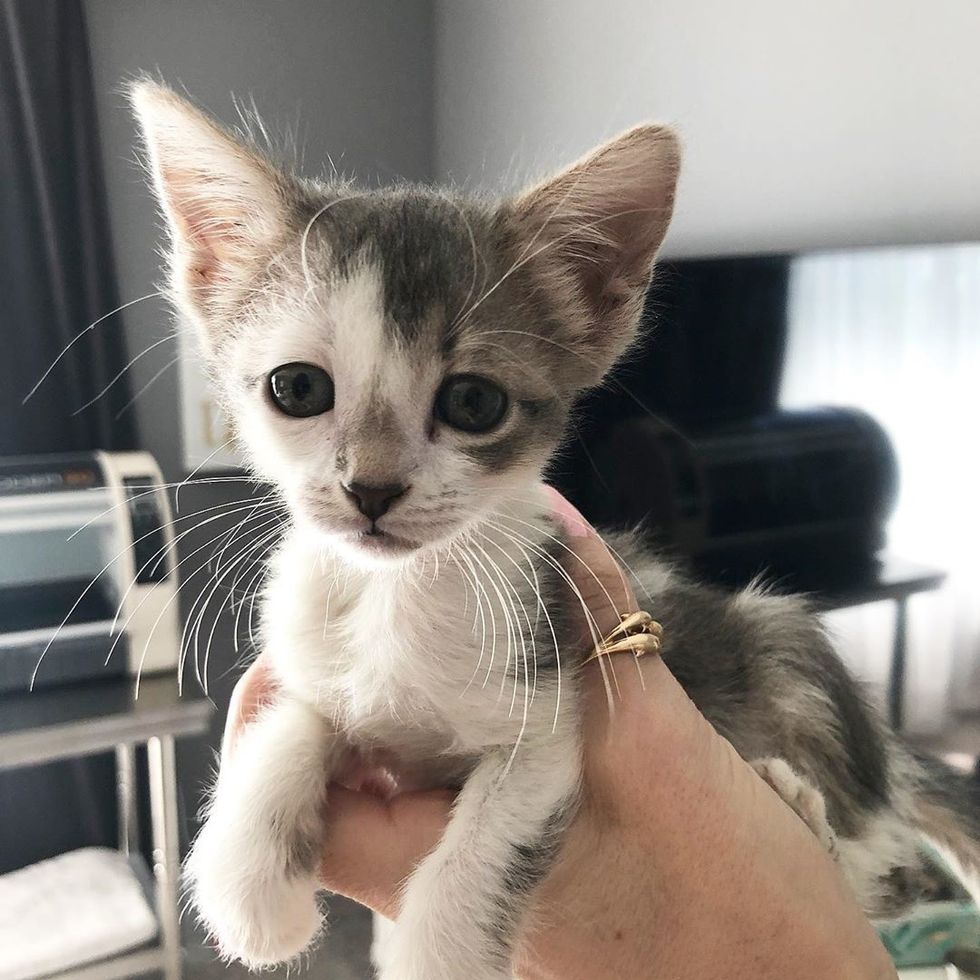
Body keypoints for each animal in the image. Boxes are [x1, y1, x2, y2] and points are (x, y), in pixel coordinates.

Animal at [132, 84, 980, 980]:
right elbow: (294, 721)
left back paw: (801, 805)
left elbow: (483, 851)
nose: (372, 488)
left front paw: (434, 949)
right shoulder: (319, 665)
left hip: (782, 643)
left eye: (473, 403)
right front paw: (248, 879)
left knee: (884, 862)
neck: (396, 596)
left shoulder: (546, 714)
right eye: (296, 388)